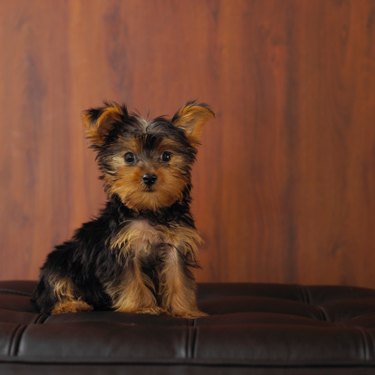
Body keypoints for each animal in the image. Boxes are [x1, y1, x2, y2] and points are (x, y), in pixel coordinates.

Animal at [32, 101, 214, 318]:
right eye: (128, 157)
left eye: (166, 156)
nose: (149, 177)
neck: (149, 210)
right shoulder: (122, 248)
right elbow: (131, 280)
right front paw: (143, 307)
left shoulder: (175, 246)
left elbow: (178, 277)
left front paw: (185, 310)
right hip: (61, 260)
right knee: (52, 288)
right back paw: (69, 305)